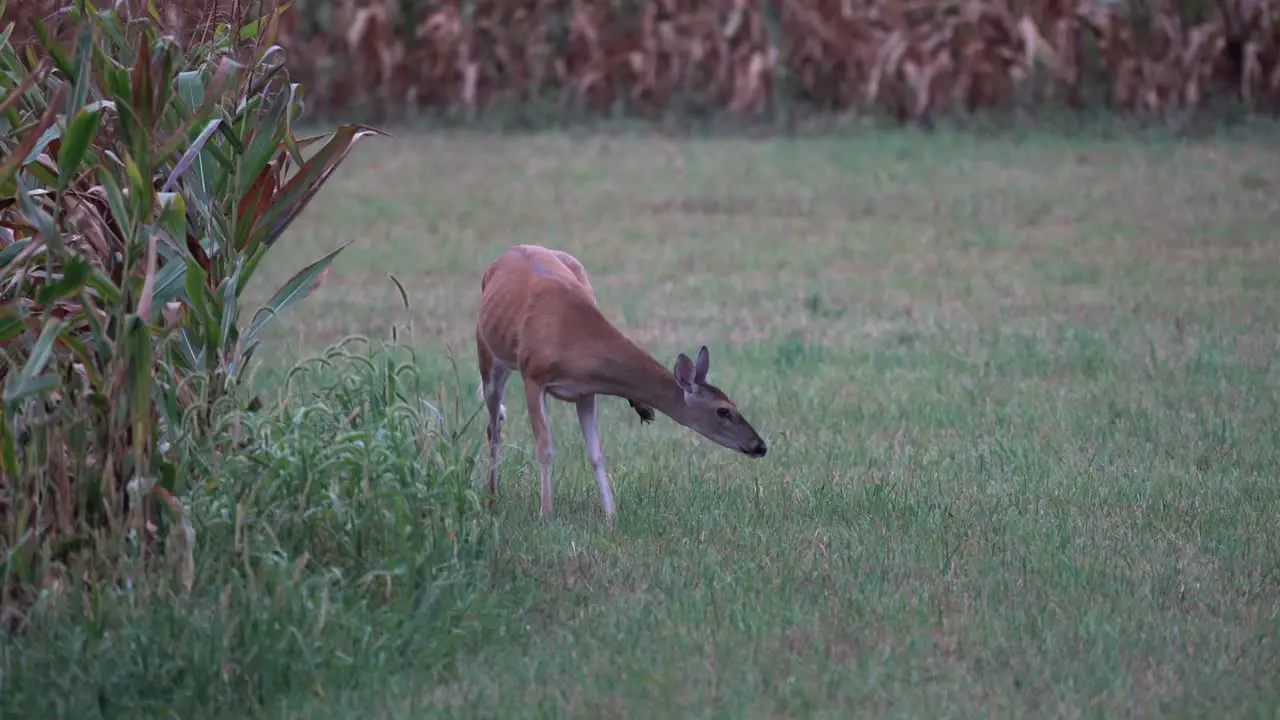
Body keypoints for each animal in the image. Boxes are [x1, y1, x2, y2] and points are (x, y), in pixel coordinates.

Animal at [476, 243, 762, 525]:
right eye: (723, 410)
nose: (760, 446)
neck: (572, 339)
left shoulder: (585, 391)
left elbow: (596, 453)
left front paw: (612, 517)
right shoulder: (533, 376)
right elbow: (545, 447)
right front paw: (546, 515)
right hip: (488, 352)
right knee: (493, 424)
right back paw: (491, 498)